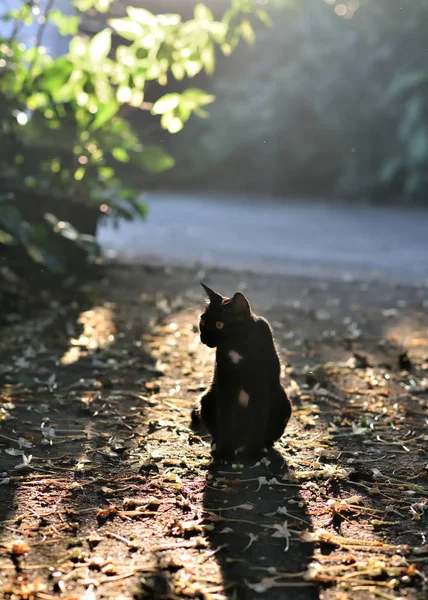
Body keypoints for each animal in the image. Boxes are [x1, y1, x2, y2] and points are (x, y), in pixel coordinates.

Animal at [192, 284, 292, 462]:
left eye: (219, 324)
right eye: (202, 321)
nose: (203, 338)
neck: (238, 344)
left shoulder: (261, 388)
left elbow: (257, 421)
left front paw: (254, 453)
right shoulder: (225, 385)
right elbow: (226, 421)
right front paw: (225, 453)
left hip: (283, 404)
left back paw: (263, 447)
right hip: (208, 399)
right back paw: (218, 445)